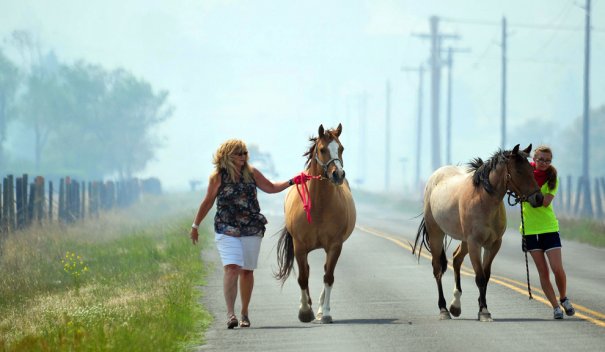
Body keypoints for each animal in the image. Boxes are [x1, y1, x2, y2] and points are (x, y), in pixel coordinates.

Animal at [276, 124, 356, 324]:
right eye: (322, 149)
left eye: (341, 148)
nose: (338, 174)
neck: (319, 206)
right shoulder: (299, 246)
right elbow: (303, 277)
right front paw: (305, 311)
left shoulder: (335, 246)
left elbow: (328, 277)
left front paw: (325, 313)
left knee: (326, 271)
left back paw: (319, 309)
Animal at [412, 144, 540, 322]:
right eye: (519, 171)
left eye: (532, 170)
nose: (539, 198)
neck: (483, 198)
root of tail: (434, 178)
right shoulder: (475, 244)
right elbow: (479, 277)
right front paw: (484, 311)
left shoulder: (493, 245)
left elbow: (486, 276)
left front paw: (483, 306)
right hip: (436, 234)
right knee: (437, 269)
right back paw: (443, 309)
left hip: (464, 241)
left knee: (457, 259)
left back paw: (455, 305)